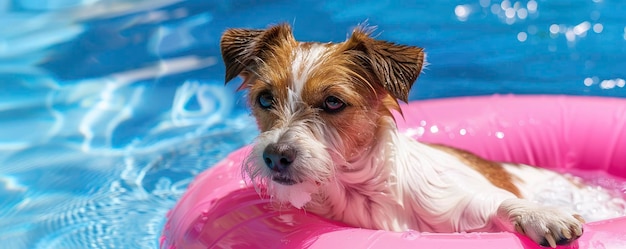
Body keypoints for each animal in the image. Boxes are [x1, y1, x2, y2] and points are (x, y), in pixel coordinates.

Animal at [217, 23, 620, 247]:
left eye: (332, 102)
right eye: (265, 98)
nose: (274, 156)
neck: (363, 192)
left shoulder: (463, 201)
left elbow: (502, 202)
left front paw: (540, 215)